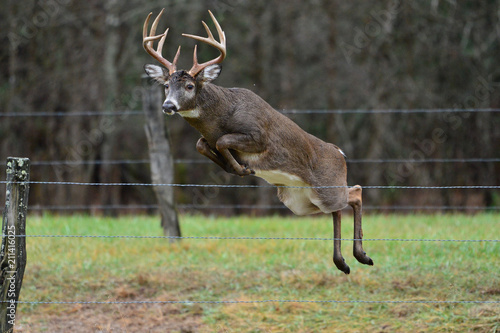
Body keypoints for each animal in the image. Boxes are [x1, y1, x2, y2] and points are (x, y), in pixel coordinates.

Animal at [143, 9, 374, 272]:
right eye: (166, 86)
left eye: (190, 86)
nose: (168, 106)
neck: (221, 116)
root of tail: (340, 153)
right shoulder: (208, 139)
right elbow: (201, 144)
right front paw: (237, 167)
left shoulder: (259, 136)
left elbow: (223, 141)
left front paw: (242, 168)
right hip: (301, 202)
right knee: (339, 208)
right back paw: (343, 262)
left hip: (327, 188)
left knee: (354, 193)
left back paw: (361, 255)